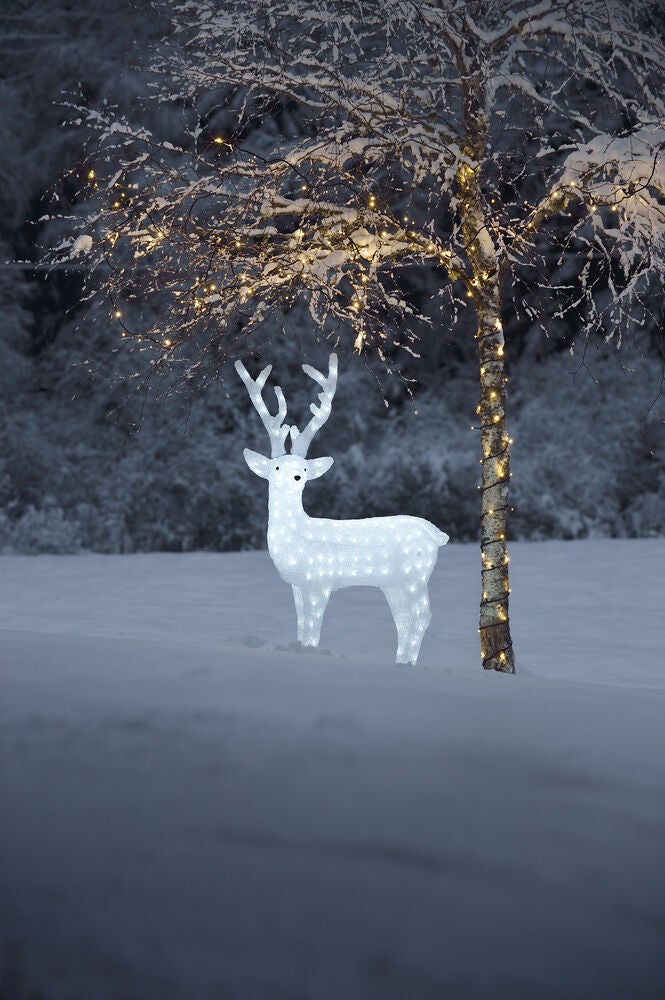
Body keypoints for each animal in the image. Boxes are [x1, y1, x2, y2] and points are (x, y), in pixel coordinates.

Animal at [235, 353, 449, 665]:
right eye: (276, 467)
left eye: (304, 468)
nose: (296, 477)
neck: (296, 539)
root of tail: (436, 534)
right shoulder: (298, 584)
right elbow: (301, 625)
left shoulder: (320, 578)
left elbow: (313, 630)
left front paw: (310, 654)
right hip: (393, 582)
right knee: (404, 619)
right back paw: (400, 662)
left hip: (416, 573)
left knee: (422, 615)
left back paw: (408, 664)